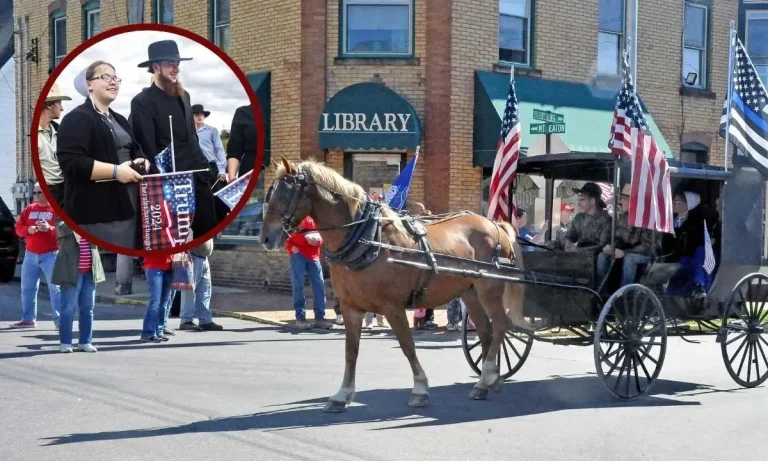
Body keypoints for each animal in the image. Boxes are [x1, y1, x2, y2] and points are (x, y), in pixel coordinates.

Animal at [260, 156, 528, 412]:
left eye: (286, 193)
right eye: (269, 192)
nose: (265, 238)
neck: (368, 238)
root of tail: (495, 224)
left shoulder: (393, 307)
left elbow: (407, 346)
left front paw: (419, 389)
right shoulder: (350, 307)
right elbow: (351, 351)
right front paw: (342, 395)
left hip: (490, 288)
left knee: (500, 325)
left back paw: (488, 376)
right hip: (470, 292)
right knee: (486, 330)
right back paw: (487, 381)